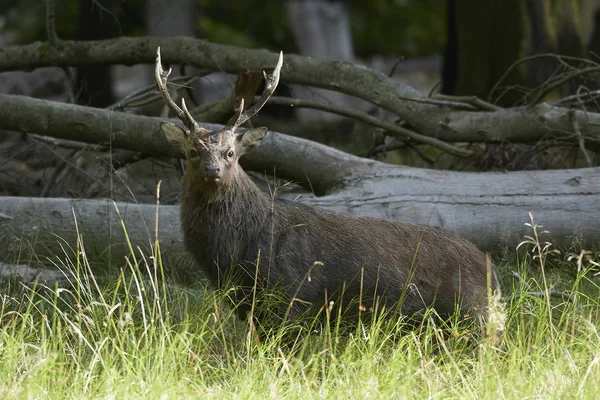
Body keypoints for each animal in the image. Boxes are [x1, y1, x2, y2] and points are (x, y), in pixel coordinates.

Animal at [152, 47, 500, 332]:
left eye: (230, 153)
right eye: (192, 151)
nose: (212, 170)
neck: (238, 253)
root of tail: (495, 278)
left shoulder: (293, 295)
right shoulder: (249, 305)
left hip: (472, 316)